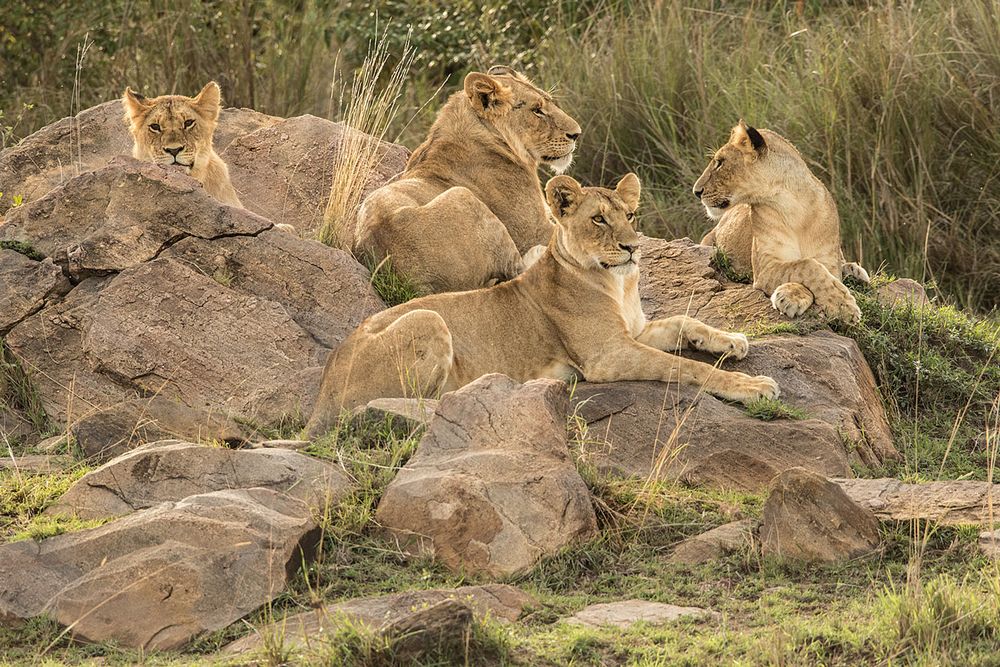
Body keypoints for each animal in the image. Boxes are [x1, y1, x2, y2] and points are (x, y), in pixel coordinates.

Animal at [306, 172, 780, 438]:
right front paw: (754, 386)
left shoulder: (635, 331)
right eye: (599, 219)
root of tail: (322, 393)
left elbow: (685, 322)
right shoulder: (607, 356)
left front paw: (733, 340)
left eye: (629, 215)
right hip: (427, 317)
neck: (617, 283)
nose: (633, 247)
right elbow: (686, 368)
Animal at [356, 66, 584, 294]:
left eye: (549, 102)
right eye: (537, 110)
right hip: (464, 196)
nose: (577, 134)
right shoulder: (533, 231)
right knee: (520, 269)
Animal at [692, 123, 872, 326]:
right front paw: (796, 296)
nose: (696, 191)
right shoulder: (765, 268)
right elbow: (806, 266)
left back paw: (856, 272)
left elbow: (813, 268)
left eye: (720, 162)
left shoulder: (828, 261)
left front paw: (842, 306)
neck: (792, 205)